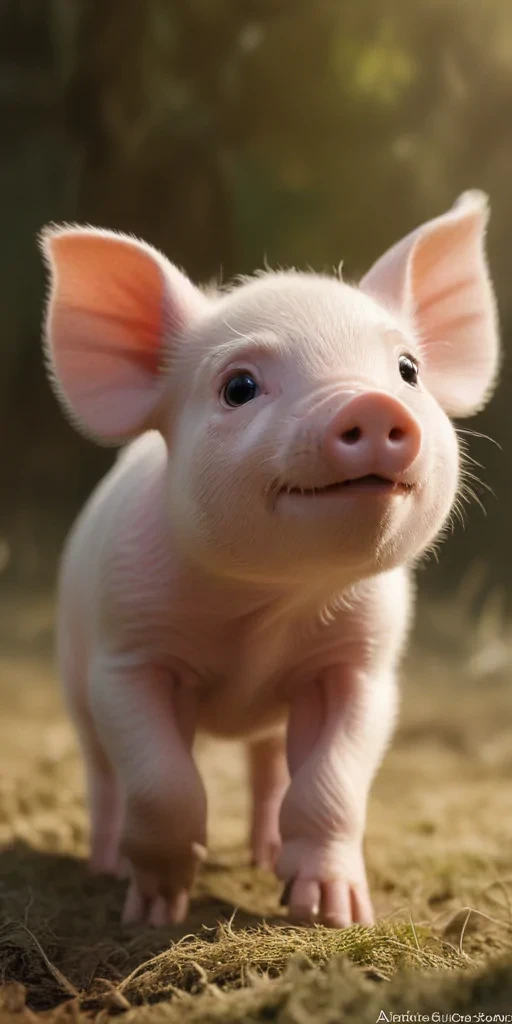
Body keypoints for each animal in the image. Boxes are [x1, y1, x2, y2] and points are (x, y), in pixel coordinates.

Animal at [40, 191, 499, 928]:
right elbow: (162, 781)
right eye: (239, 387)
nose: (373, 404)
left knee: (267, 768)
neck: (268, 608)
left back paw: (263, 856)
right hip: (72, 674)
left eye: (407, 370)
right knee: (103, 775)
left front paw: (332, 913)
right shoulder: (126, 655)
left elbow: (330, 784)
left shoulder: (362, 668)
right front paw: (155, 910)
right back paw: (105, 866)